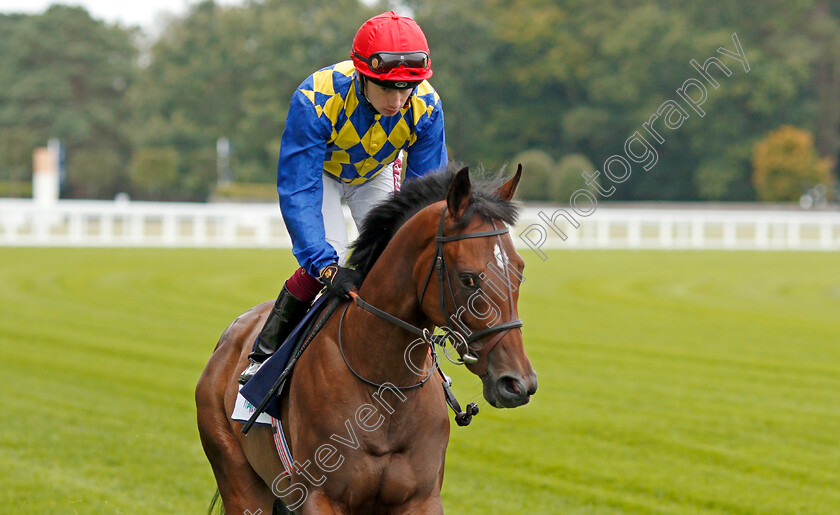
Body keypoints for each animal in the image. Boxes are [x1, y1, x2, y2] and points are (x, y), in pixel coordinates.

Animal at [195, 167, 540, 512]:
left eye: (520, 270)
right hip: (239, 479)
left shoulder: (422, 498)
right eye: (468, 278)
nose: (517, 383)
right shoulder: (320, 497)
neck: (385, 386)